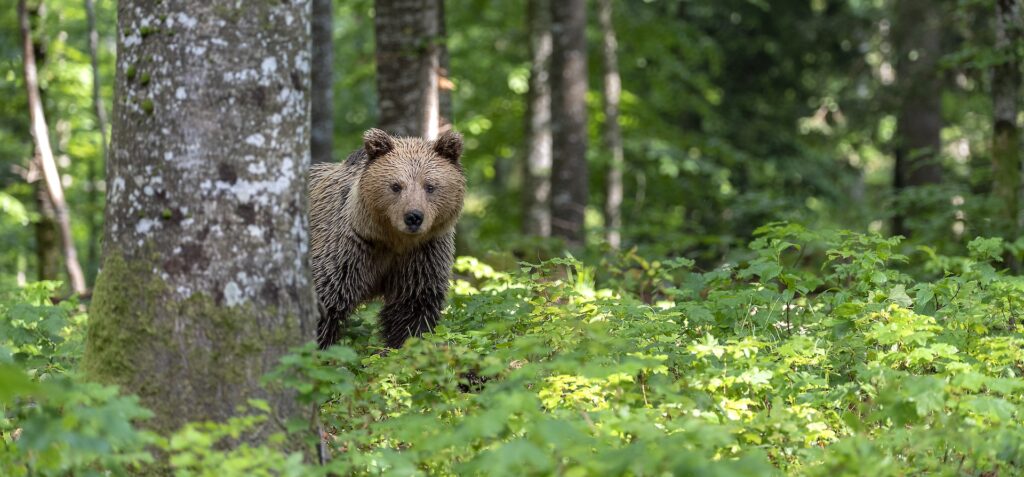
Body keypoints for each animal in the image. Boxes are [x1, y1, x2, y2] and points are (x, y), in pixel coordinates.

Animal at [305, 128, 462, 348]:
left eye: (430, 186)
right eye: (396, 186)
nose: (413, 217)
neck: (392, 240)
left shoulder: (422, 254)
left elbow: (412, 306)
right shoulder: (349, 248)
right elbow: (327, 299)